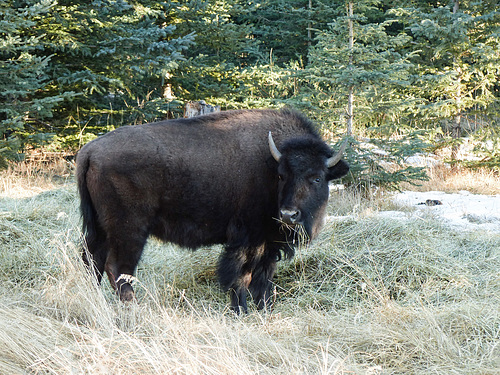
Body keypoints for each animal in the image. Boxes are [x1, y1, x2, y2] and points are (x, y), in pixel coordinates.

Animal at [78, 109, 350, 314]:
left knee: (92, 261)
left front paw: (265, 309)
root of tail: (89, 150)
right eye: (282, 175)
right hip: (130, 231)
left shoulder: (268, 243)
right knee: (117, 268)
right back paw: (135, 307)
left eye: (317, 178)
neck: (269, 163)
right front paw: (241, 311)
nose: (288, 215)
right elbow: (240, 276)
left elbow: (263, 278)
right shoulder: (245, 239)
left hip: (99, 228)